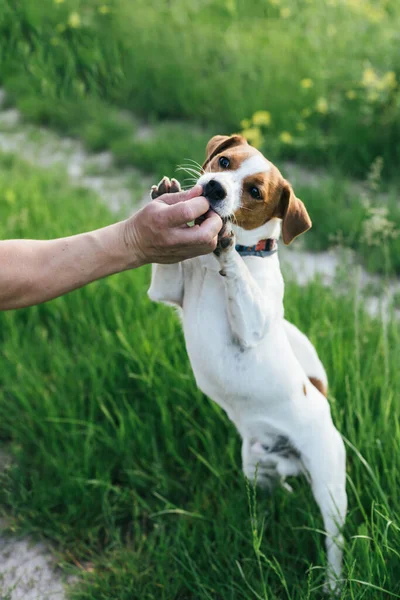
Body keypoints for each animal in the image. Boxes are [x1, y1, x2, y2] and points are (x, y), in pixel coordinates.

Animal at [148, 135, 346, 592]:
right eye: (223, 162)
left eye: (255, 191)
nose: (213, 188)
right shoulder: (165, 291)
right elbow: (167, 266)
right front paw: (166, 195)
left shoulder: (252, 326)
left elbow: (238, 276)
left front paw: (227, 250)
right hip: (257, 468)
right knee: (272, 495)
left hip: (331, 489)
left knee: (335, 543)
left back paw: (333, 583)